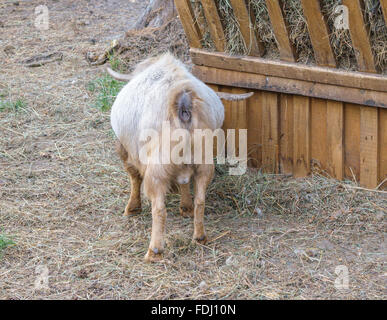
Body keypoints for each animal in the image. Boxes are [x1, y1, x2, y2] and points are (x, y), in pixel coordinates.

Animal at [108, 53, 252, 262]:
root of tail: (183, 101)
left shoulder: (127, 149)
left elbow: (134, 176)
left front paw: (132, 208)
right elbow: (184, 182)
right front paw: (185, 207)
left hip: (157, 168)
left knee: (159, 208)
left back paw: (154, 251)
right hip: (204, 162)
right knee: (200, 199)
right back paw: (199, 237)